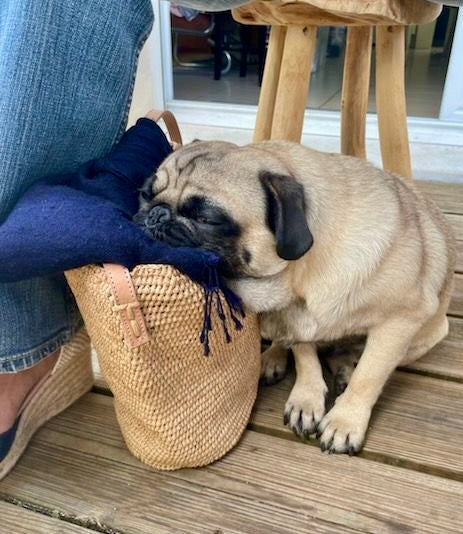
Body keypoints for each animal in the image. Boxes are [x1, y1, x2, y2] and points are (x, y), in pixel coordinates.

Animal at [135, 139, 456, 456]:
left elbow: (368, 376)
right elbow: (305, 356)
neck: (296, 277)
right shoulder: (295, 318)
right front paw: (306, 399)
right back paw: (274, 357)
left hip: (428, 335)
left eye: (206, 219)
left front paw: (345, 421)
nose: (156, 213)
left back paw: (346, 366)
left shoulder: (400, 322)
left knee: (353, 355)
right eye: (144, 194)